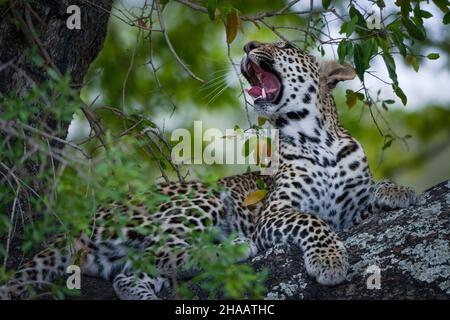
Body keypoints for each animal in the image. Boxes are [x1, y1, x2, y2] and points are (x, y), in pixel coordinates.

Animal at [0, 40, 418, 300]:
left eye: (284, 46)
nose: (248, 46)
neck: (315, 137)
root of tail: (91, 216)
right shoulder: (275, 213)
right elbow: (312, 222)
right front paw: (330, 261)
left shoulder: (348, 210)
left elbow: (365, 197)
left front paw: (395, 191)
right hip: (202, 199)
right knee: (163, 249)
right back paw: (232, 247)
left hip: (118, 256)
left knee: (129, 274)